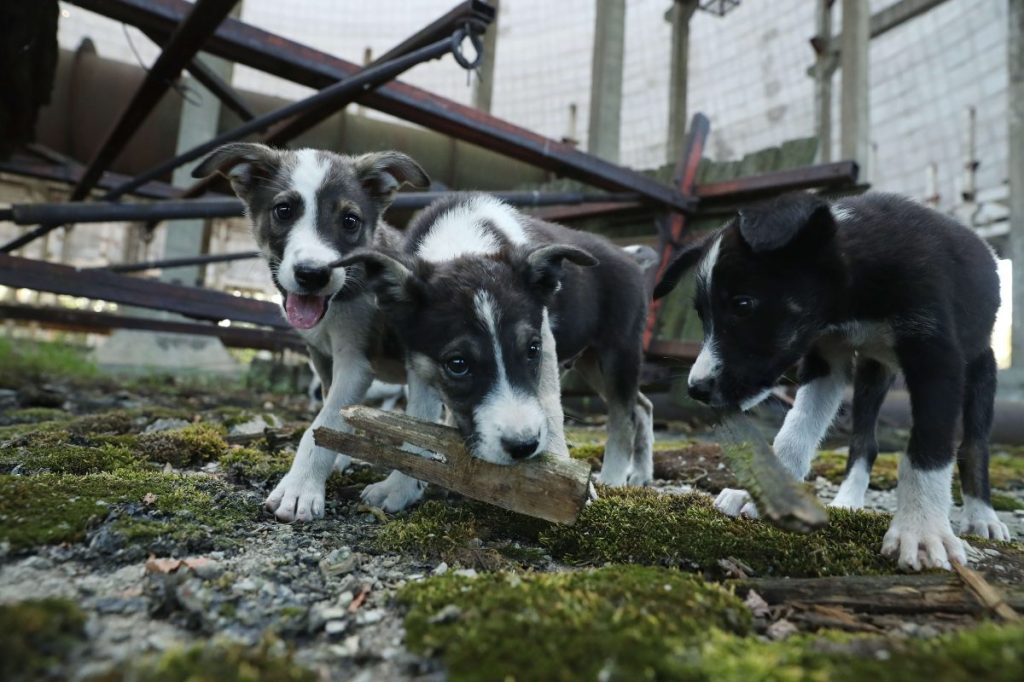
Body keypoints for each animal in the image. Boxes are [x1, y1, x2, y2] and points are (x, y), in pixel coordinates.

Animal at [192, 140, 428, 518]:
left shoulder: (355, 362)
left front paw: (300, 488)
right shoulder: (322, 357)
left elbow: (321, 425)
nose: (313, 274)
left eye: (350, 221)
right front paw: (337, 458)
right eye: (283, 211)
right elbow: (334, 417)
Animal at [655, 189, 1007, 569]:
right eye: (702, 315)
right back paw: (849, 500)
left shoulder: (937, 359)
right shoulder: (826, 357)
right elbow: (796, 430)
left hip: (980, 366)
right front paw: (771, 493)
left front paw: (922, 531)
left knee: (974, 445)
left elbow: (929, 448)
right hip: (872, 371)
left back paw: (982, 515)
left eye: (743, 304)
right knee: (864, 442)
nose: (697, 389)